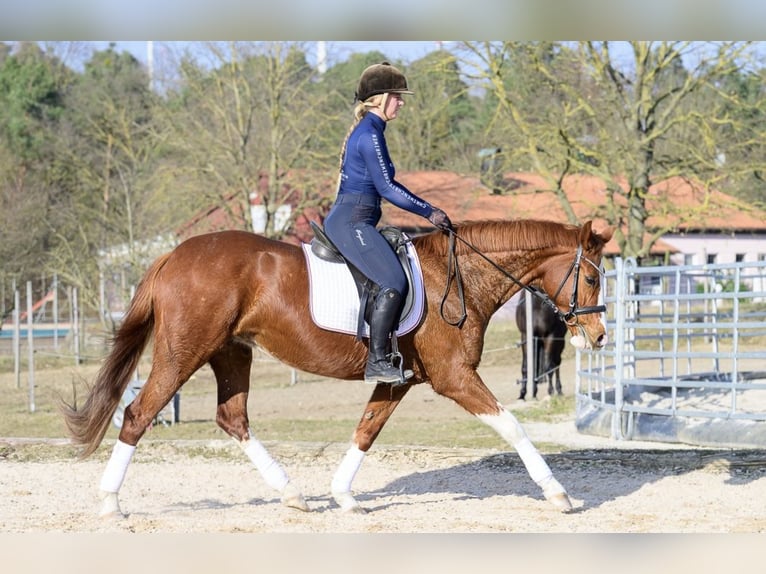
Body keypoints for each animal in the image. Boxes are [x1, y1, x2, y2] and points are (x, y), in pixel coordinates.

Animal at [61, 218, 612, 520]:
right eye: (590, 277)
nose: (599, 336)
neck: (459, 275)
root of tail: (174, 255)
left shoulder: (399, 380)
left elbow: (365, 431)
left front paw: (343, 496)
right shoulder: (455, 377)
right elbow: (513, 426)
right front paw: (558, 493)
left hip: (232, 352)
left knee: (232, 419)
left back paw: (292, 494)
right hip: (184, 355)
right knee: (138, 414)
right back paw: (110, 502)